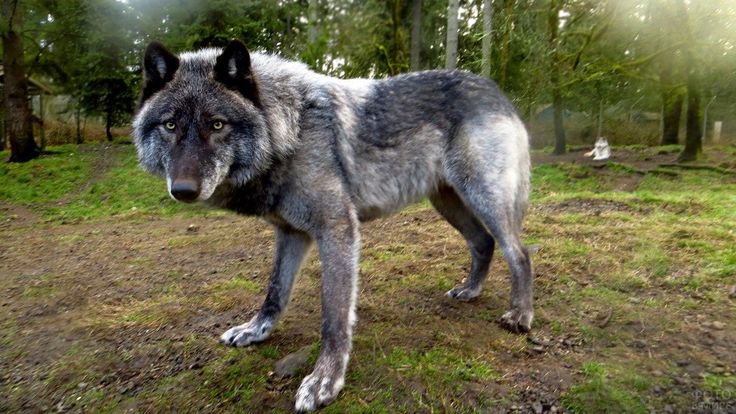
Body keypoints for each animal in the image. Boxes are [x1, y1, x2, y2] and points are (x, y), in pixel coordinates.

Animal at [132, 39, 533, 412]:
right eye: (170, 125)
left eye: (217, 124)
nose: (183, 190)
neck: (290, 130)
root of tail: (494, 89)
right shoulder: (291, 234)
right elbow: (275, 291)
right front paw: (255, 330)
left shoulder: (337, 230)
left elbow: (334, 316)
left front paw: (325, 380)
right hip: (449, 203)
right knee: (483, 243)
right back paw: (471, 290)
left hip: (484, 199)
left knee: (520, 252)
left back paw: (521, 314)